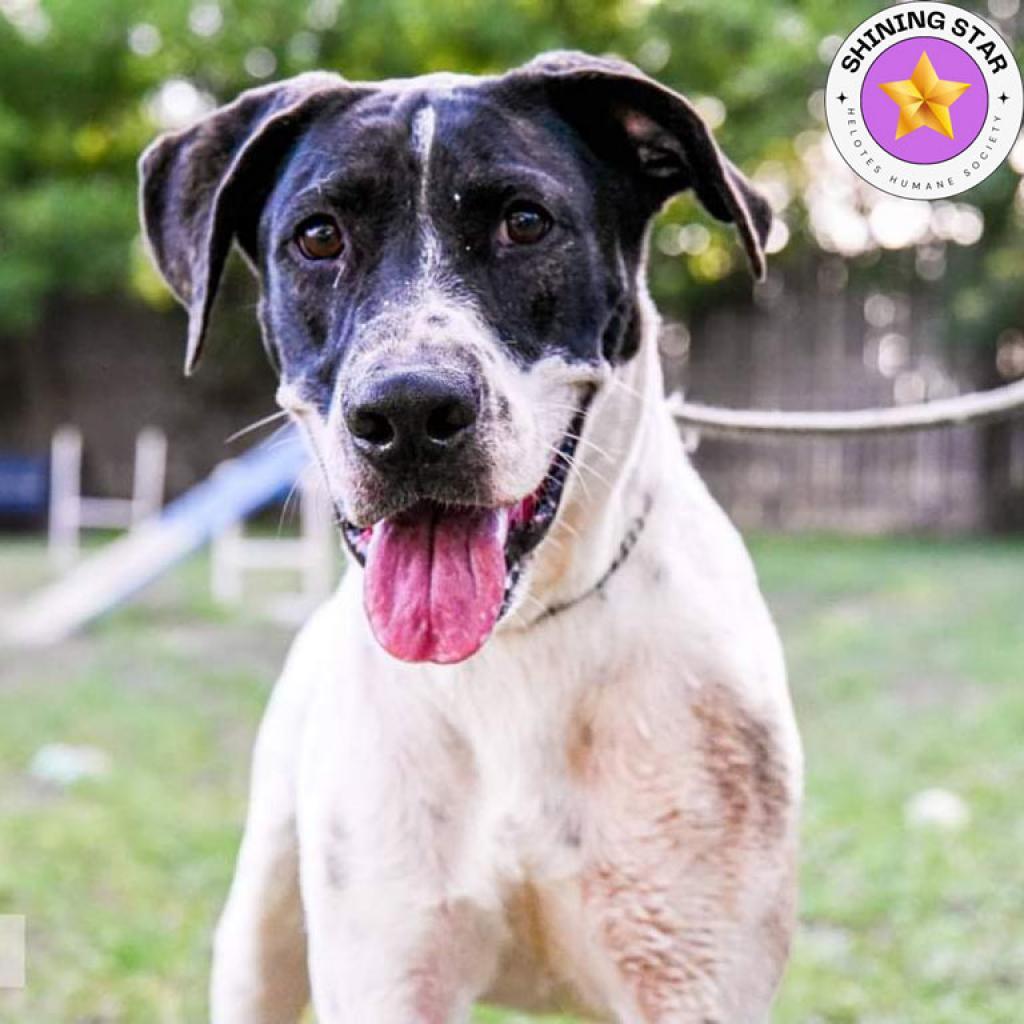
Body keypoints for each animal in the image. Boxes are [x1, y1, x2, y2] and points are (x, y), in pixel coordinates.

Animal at [140, 49, 802, 1024]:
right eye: (318, 237)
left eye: (525, 223)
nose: (409, 412)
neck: (517, 643)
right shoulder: (388, 964)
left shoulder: (692, 974)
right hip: (260, 933)